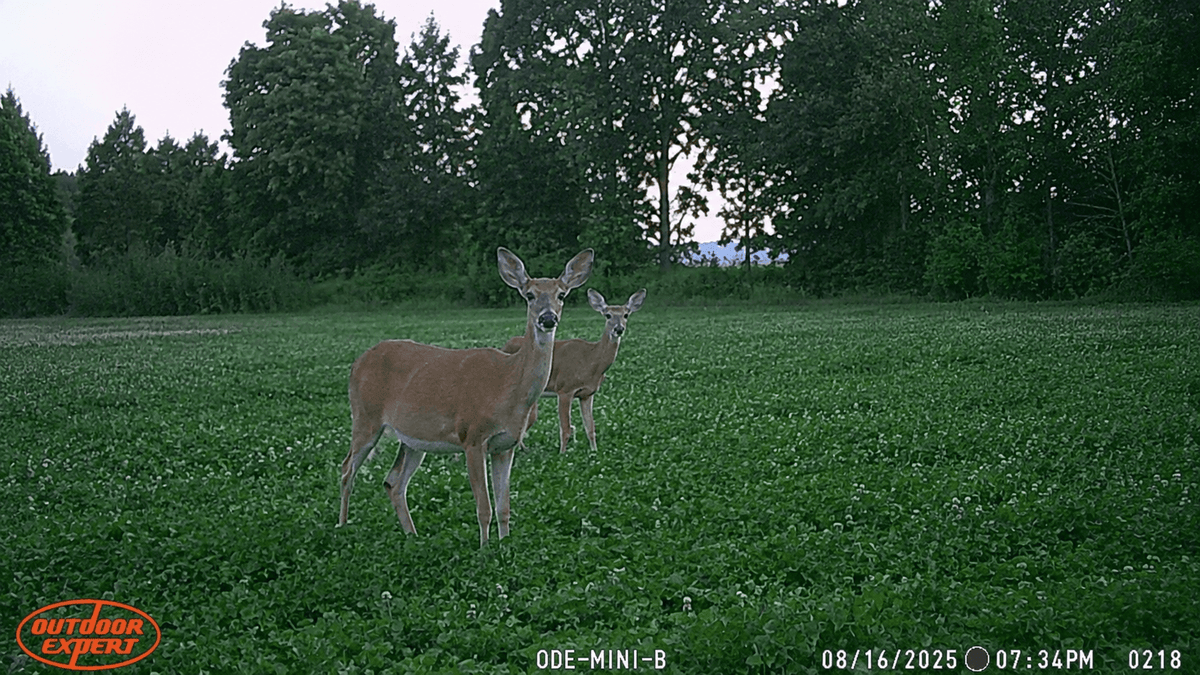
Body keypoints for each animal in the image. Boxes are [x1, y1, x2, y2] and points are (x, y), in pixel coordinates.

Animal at [341, 247, 594, 547]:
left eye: (562, 294)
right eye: (530, 295)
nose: (547, 318)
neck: (507, 384)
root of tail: (357, 363)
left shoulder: (505, 445)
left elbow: (504, 506)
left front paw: (504, 545)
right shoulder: (472, 437)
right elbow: (483, 506)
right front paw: (485, 548)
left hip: (413, 439)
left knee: (393, 482)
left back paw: (413, 536)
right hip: (365, 416)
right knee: (347, 469)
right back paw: (341, 526)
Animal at [501, 288, 646, 453]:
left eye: (626, 314)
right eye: (608, 315)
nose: (619, 329)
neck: (591, 361)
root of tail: (506, 344)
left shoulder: (587, 394)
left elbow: (590, 427)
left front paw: (594, 452)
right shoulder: (565, 389)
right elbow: (566, 428)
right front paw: (562, 454)